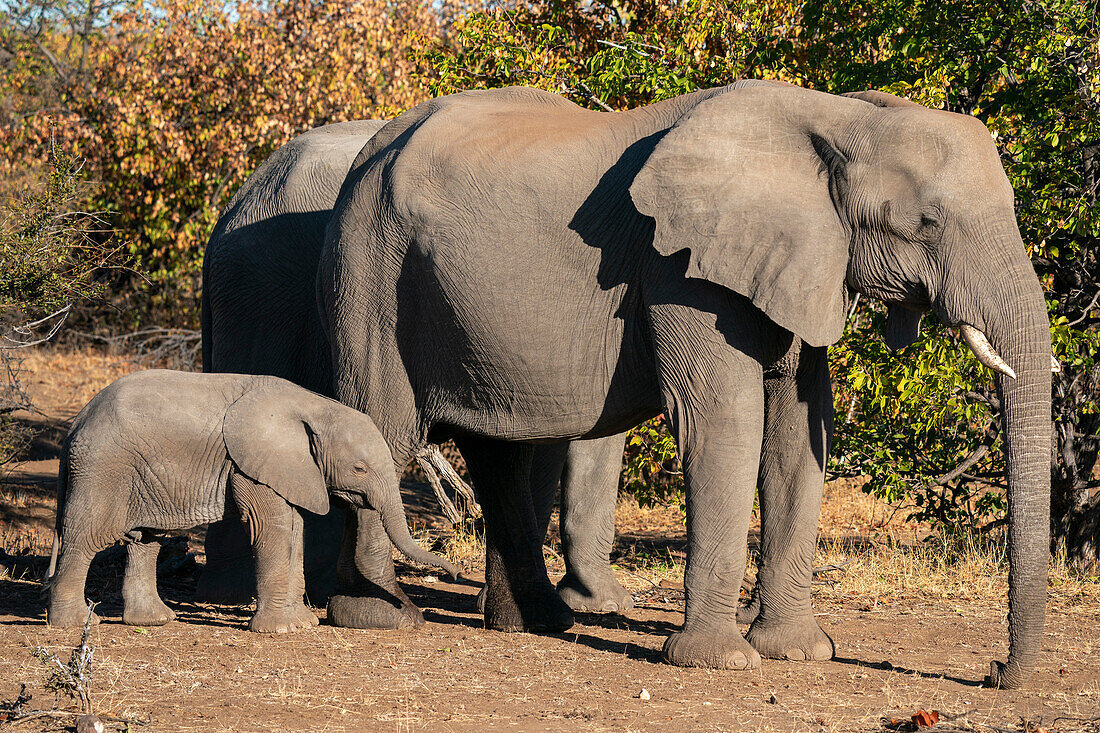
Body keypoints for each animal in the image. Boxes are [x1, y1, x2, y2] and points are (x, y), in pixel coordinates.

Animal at [46, 367, 459, 629]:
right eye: (359, 468)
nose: (454, 573)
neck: (315, 406)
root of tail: (78, 420)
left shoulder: (289, 469)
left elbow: (294, 529)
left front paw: (302, 625)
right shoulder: (252, 465)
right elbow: (271, 528)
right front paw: (281, 630)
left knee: (145, 540)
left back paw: (155, 621)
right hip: (103, 468)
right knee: (88, 537)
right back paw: (76, 624)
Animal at [316, 82, 1047, 686]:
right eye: (925, 221)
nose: (992, 671)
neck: (835, 117)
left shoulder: (797, 261)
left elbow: (800, 431)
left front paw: (800, 652)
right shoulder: (679, 268)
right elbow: (728, 421)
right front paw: (720, 662)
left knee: (498, 451)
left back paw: (538, 623)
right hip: (371, 268)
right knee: (384, 427)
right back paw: (381, 617)